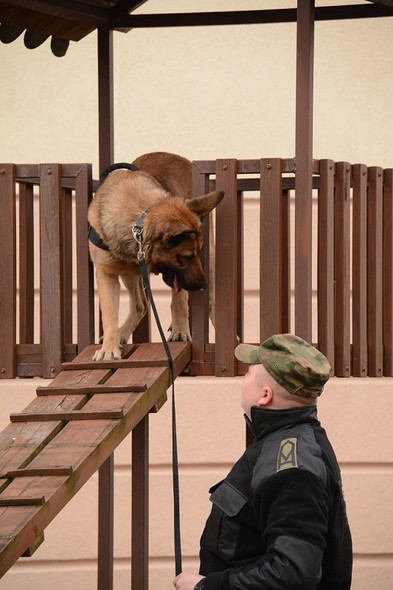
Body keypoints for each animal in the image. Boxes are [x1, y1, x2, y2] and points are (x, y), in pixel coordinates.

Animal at [89, 151, 224, 360]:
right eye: (187, 256)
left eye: (194, 254)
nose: (202, 285)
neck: (138, 225)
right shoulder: (106, 274)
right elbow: (110, 314)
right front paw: (109, 348)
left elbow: (179, 301)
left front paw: (180, 330)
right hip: (129, 275)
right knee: (141, 305)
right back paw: (122, 333)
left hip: (208, 263)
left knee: (210, 303)